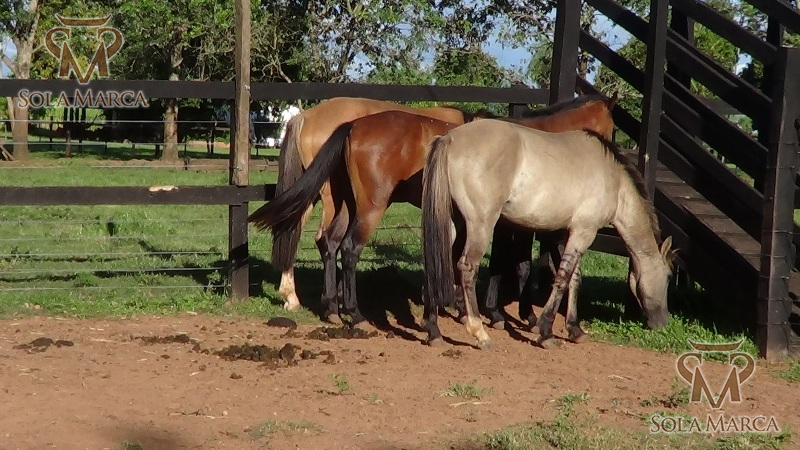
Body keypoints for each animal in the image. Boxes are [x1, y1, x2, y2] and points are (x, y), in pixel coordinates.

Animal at [421, 120, 676, 350]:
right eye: (668, 277)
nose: (663, 322)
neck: (613, 179)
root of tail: (450, 138)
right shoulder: (584, 232)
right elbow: (562, 278)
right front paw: (546, 332)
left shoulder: (567, 234)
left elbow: (574, 278)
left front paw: (574, 329)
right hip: (481, 224)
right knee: (467, 267)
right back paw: (479, 333)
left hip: (452, 221)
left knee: (434, 263)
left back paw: (433, 331)